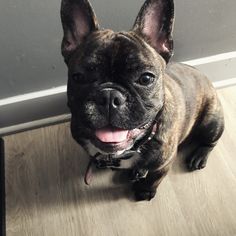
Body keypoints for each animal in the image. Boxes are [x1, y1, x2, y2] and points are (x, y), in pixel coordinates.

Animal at [60, 0, 224, 201]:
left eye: (146, 78)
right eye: (79, 77)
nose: (109, 96)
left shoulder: (164, 163)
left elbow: (154, 178)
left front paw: (145, 191)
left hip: (211, 121)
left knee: (210, 141)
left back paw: (199, 156)